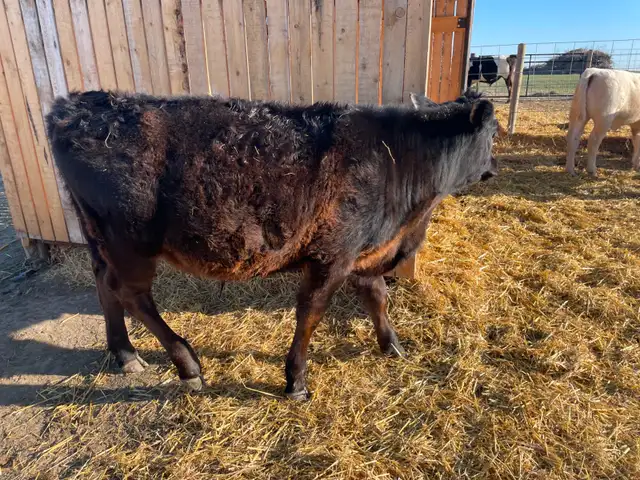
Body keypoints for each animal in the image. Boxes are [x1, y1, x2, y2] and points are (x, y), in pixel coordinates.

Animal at [46, 89, 499, 400]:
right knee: (132, 294)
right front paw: (296, 380)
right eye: (493, 134)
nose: (493, 167)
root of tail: (77, 104)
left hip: (97, 236)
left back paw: (124, 353)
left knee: (104, 284)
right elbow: (310, 314)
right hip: (130, 241)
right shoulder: (333, 253)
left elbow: (377, 297)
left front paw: (393, 346)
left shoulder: (364, 252)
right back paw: (187, 366)